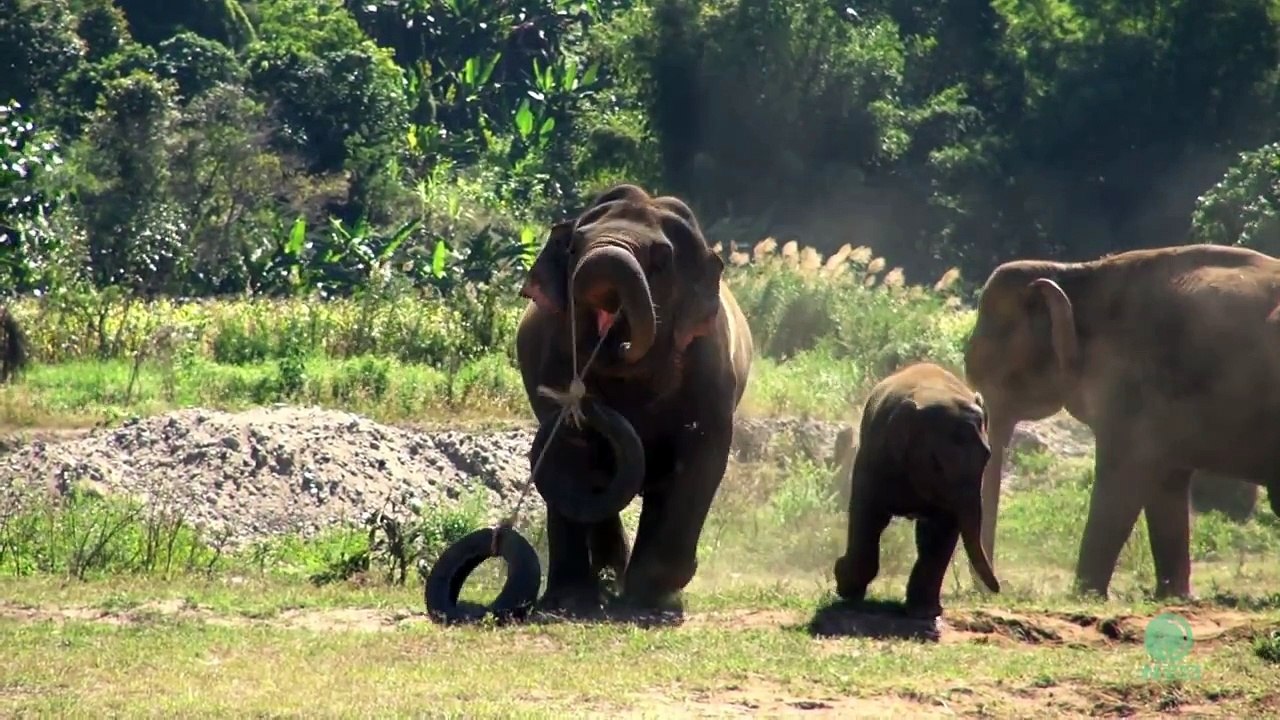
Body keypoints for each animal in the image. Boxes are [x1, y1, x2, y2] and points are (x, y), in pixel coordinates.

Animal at [516, 182, 754, 614]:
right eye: (574, 246)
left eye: (660, 259)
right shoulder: (552, 356)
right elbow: (570, 457)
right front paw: (570, 602)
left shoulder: (710, 369)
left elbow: (702, 452)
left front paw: (656, 592)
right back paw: (601, 587)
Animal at [832, 362, 1001, 619]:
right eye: (936, 463)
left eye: (987, 456)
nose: (998, 589)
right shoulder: (876, 457)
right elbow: (868, 515)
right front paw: (847, 590)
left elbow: (939, 531)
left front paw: (924, 611)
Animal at [963, 243, 1280, 600]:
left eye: (995, 375)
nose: (993, 589)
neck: (1075, 273)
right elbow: (1165, 483)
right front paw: (1172, 596)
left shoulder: (1130, 382)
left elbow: (1121, 475)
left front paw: (1086, 596)